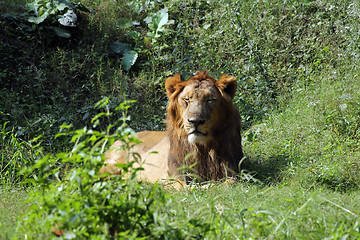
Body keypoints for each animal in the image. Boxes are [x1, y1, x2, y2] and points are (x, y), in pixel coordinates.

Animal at [100, 70, 243, 187]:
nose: (195, 121)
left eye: (210, 100)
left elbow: (230, 182)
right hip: (111, 167)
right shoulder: (175, 176)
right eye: (187, 99)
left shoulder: (232, 170)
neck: (203, 148)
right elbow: (186, 188)